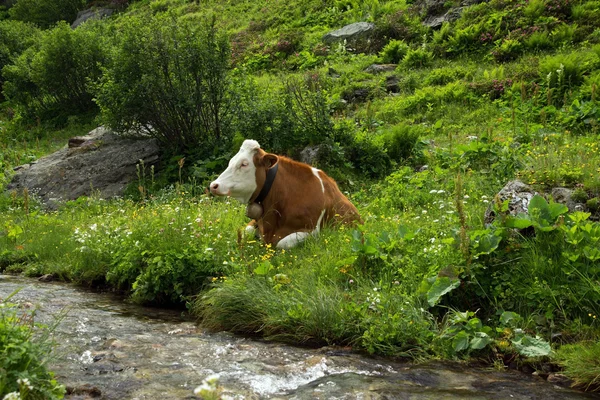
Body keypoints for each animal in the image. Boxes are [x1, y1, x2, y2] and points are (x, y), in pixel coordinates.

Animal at [209, 139, 364, 248]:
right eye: (231, 161)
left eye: (244, 164)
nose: (214, 185)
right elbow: (246, 231)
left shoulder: (313, 231)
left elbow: (282, 243)